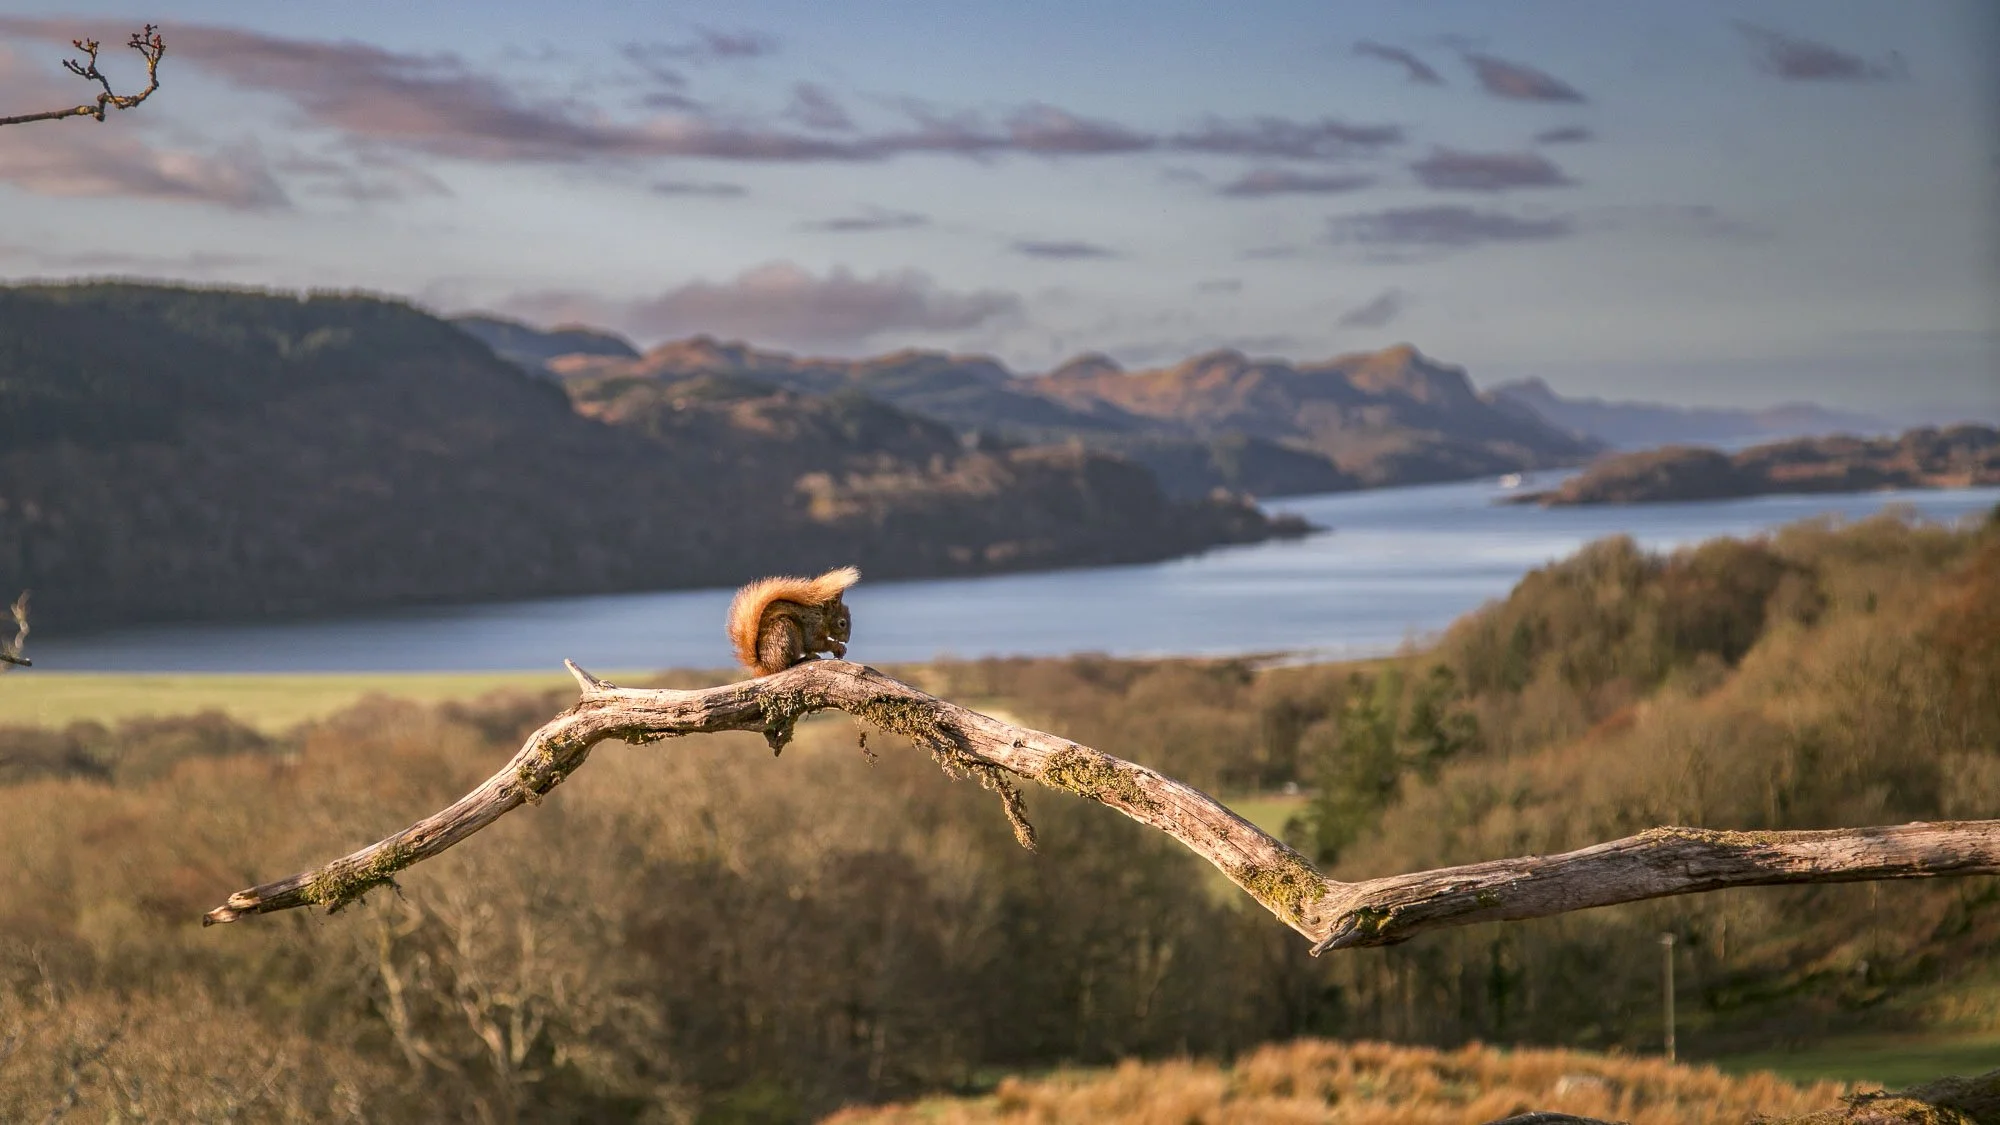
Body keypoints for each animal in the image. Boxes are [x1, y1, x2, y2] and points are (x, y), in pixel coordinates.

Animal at [726, 566, 859, 676]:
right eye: (842, 623)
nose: (846, 640)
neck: (821, 615)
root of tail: (765, 666)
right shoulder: (812, 626)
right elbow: (814, 643)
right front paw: (838, 647)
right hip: (786, 631)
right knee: (788, 663)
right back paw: (805, 658)